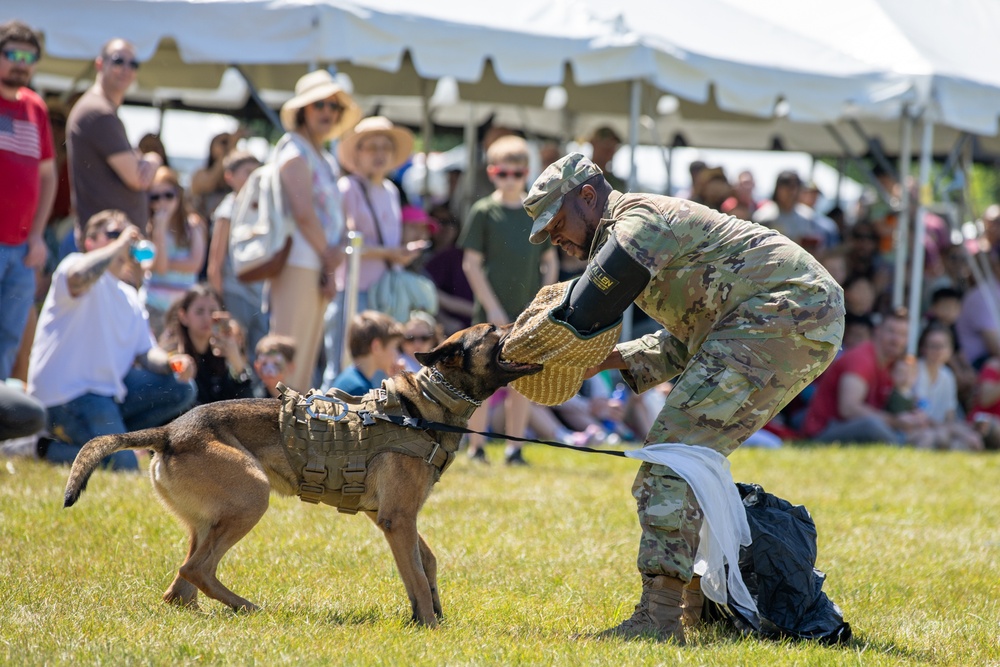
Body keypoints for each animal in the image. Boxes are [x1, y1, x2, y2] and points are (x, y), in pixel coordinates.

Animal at [64, 324, 540, 628]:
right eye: (494, 331)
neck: (425, 405)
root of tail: (169, 431)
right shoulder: (397, 519)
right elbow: (419, 577)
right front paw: (428, 626)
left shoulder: (390, 517)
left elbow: (427, 562)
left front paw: (430, 616)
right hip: (252, 496)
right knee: (197, 569)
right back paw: (248, 608)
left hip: (208, 521)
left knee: (181, 585)